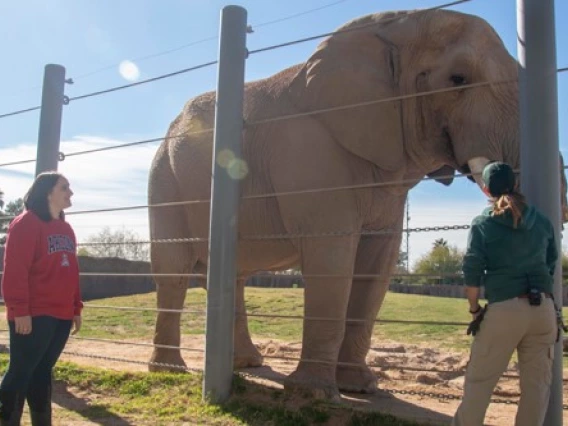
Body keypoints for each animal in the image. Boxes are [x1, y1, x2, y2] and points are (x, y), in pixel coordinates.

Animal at [148, 10, 568, 402]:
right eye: (459, 78)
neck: (393, 26)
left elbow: (376, 264)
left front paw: (360, 388)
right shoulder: (310, 152)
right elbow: (332, 256)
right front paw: (313, 394)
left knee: (230, 274)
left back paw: (247, 365)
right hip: (164, 179)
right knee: (173, 271)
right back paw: (169, 370)